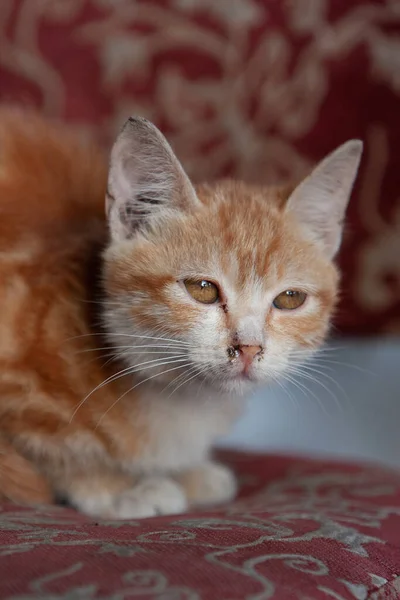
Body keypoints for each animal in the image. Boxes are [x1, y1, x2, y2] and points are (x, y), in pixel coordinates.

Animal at [0, 109, 362, 520]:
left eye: (289, 299)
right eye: (202, 289)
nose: (249, 348)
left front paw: (188, 472)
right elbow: (52, 449)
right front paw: (113, 486)